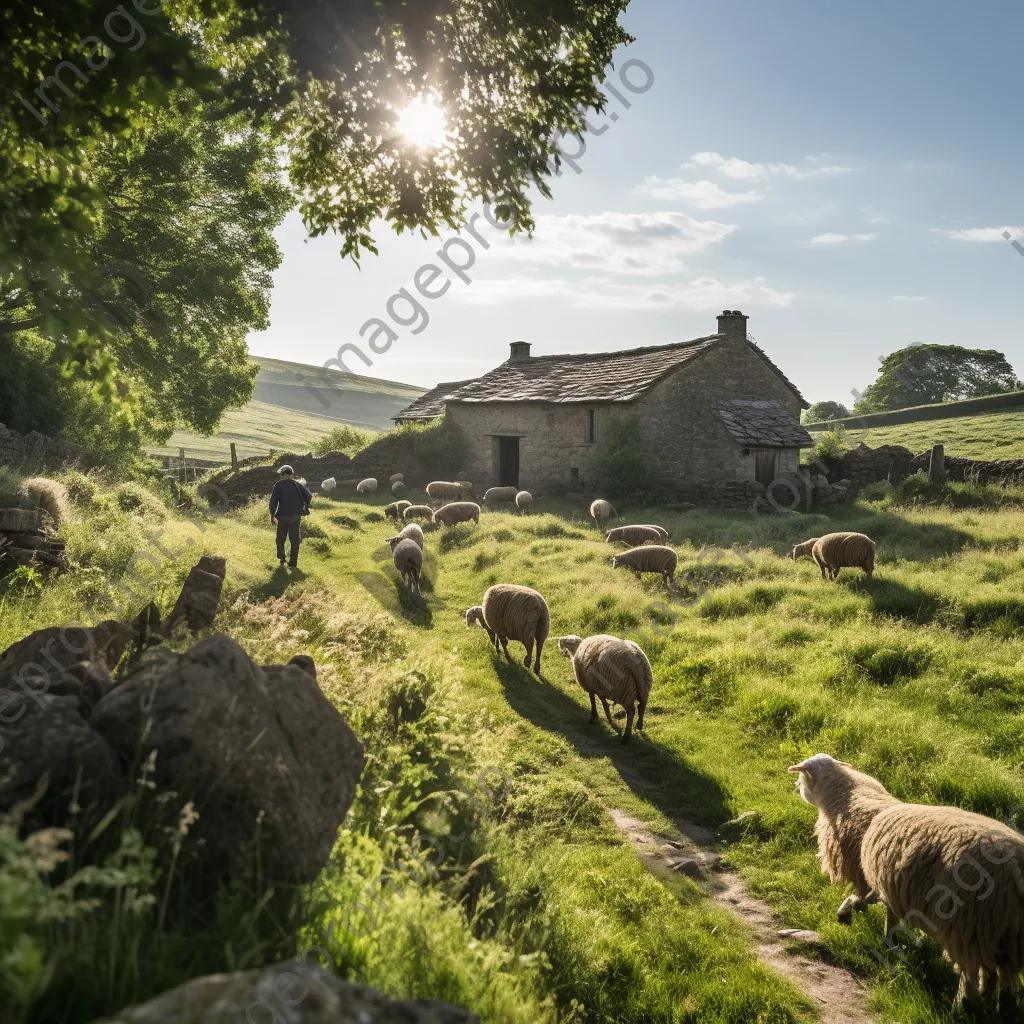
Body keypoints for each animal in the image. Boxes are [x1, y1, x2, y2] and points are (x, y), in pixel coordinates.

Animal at [794, 757, 1024, 1003]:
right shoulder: (888, 880)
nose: (796, 787)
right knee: (996, 975)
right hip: (1000, 933)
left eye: (802, 775)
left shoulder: (867, 871)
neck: (850, 796)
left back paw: (963, 1002)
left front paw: (848, 911)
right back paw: (995, 1001)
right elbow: (885, 910)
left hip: (968, 926)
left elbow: (864, 898)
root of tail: (1016, 865)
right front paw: (888, 939)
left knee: (971, 973)